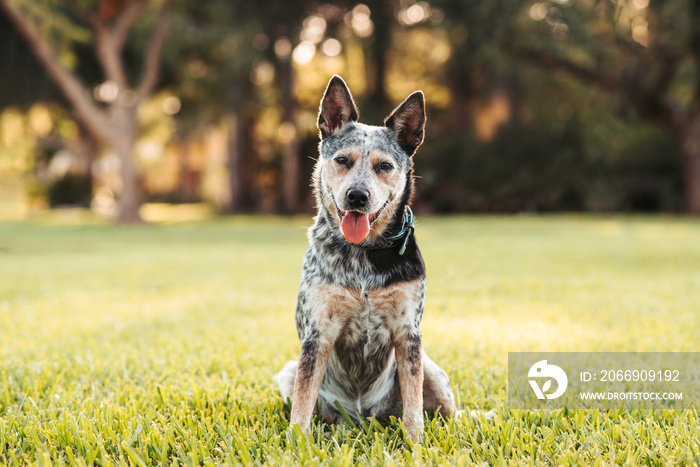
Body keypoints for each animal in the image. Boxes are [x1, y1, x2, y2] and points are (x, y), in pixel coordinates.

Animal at [276, 76, 462, 442]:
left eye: (384, 166)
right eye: (343, 160)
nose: (357, 196)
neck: (363, 254)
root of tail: (365, 419)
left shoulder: (408, 333)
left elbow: (414, 405)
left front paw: (416, 445)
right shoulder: (318, 333)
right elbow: (303, 402)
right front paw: (296, 443)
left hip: (432, 369)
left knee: (450, 413)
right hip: (289, 372)